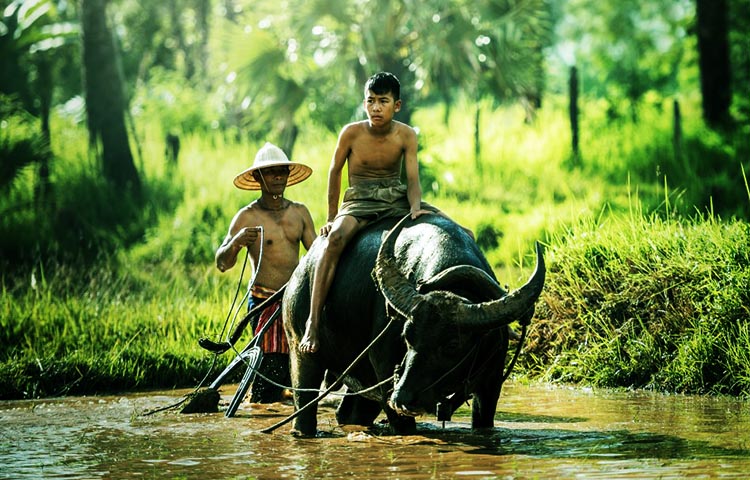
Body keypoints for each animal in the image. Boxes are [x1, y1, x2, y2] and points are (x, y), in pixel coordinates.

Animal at [282, 213, 548, 436]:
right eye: (407, 337)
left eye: (452, 345)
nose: (403, 398)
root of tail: (300, 271)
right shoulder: (385, 375)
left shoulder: (490, 385)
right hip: (300, 352)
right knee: (304, 405)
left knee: (350, 412)